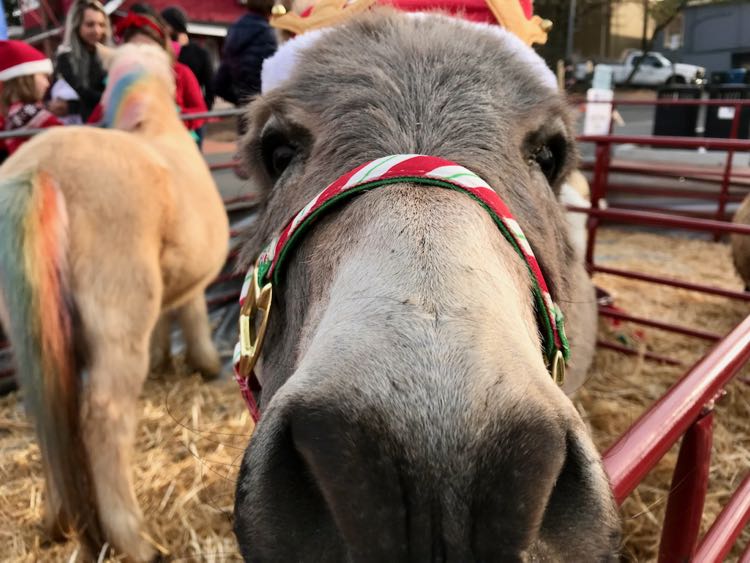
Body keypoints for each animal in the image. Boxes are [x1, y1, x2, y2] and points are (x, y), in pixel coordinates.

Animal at [0, 43, 229, 560]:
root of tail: (40, 171)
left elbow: (166, 325)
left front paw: (167, 361)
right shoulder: (193, 288)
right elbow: (193, 318)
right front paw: (206, 365)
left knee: (51, 419)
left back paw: (58, 521)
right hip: (117, 333)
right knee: (103, 420)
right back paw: (132, 539)